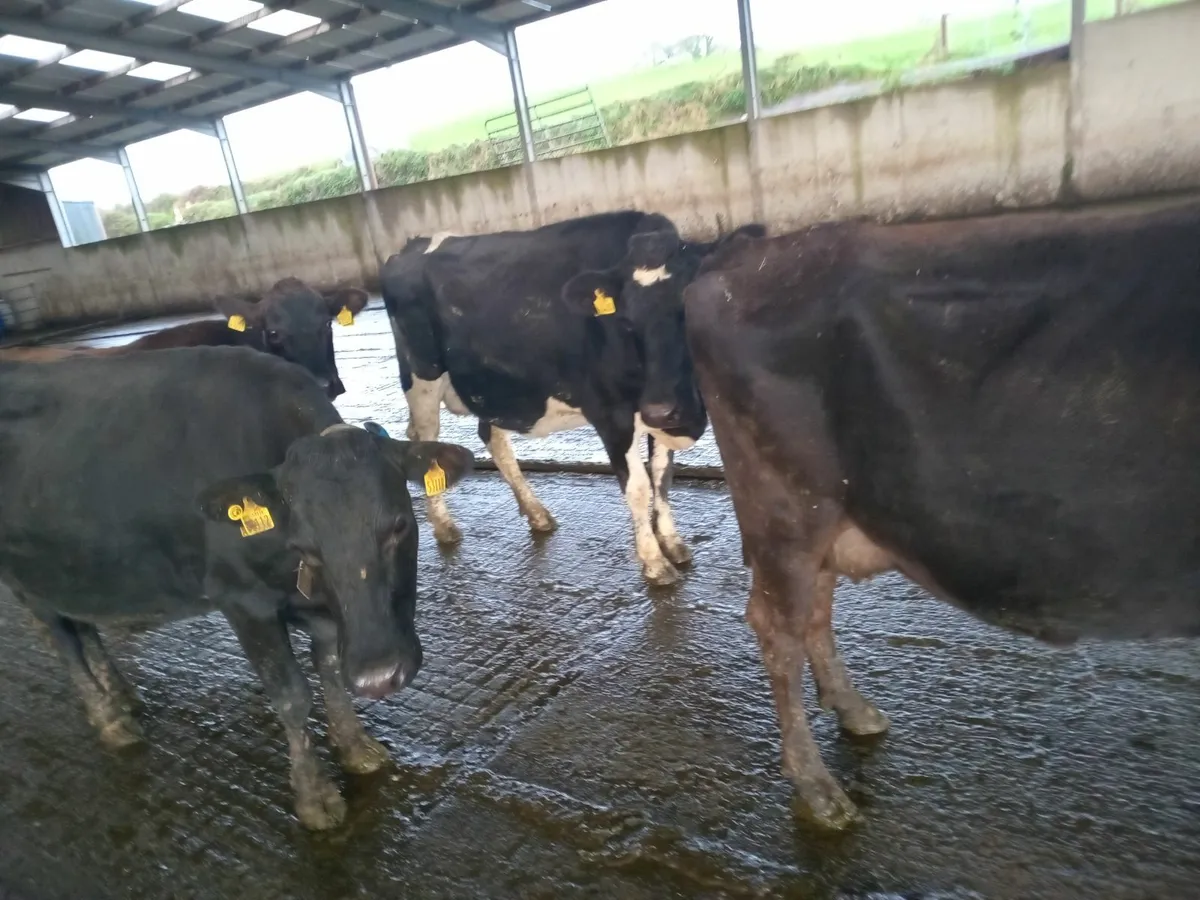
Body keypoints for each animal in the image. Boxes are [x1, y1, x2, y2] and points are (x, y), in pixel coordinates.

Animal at [0, 347, 473, 829]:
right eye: (305, 547)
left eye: (399, 525)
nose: (378, 677)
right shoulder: (241, 599)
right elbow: (292, 696)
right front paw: (315, 797)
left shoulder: (323, 611)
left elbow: (330, 676)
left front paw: (356, 749)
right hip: (22, 576)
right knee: (61, 640)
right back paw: (110, 720)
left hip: (70, 569)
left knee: (83, 625)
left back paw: (122, 695)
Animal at [381, 211, 763, 585]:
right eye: (627, 321)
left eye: (686, 307)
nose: (658, 408)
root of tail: (409, 248)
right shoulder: (611, 413)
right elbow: (639, 487)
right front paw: (655, 563)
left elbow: (662, 475)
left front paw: (673, 543)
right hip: (422, 378)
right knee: (427, 439)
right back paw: (444, 527)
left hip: (491, 383)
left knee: (492, 439)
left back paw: (537, 514)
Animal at [684, 199, 1200, 829]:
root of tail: (744, 253)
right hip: (786, 506)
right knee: (778, 629)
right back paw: (818, 788)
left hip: (828, 509)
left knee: (813, 613)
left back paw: (854, 711)